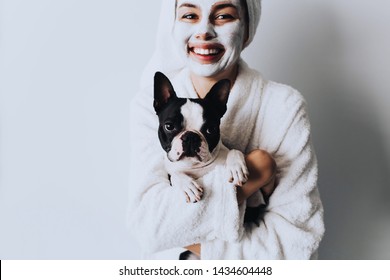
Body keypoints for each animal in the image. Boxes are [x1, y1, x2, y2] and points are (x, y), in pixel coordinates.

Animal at [154, 71, 248, 203]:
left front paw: (236, 168)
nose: (190, 137)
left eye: (210, 129)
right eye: (169, 126)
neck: (193, 165)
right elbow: (175, 175)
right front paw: (188, 186)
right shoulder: (170, 173)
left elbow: (235, 150)